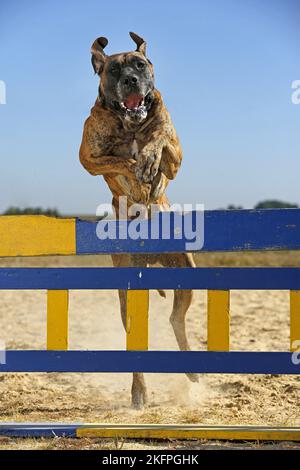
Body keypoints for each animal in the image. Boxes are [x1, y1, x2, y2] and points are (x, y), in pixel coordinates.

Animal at [79, 33, 197, 408]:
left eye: (140, 65)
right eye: (114, 69)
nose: (131, 79)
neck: (130, 122)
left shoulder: (176, 154)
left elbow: (160, 140)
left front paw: (148, 162)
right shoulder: (89, 156)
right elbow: (119, 161)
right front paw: (136, 172)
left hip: (187, 272)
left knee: (176, 319)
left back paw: (193, 372)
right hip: (127, 292)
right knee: (137, 338)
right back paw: (139, 392)